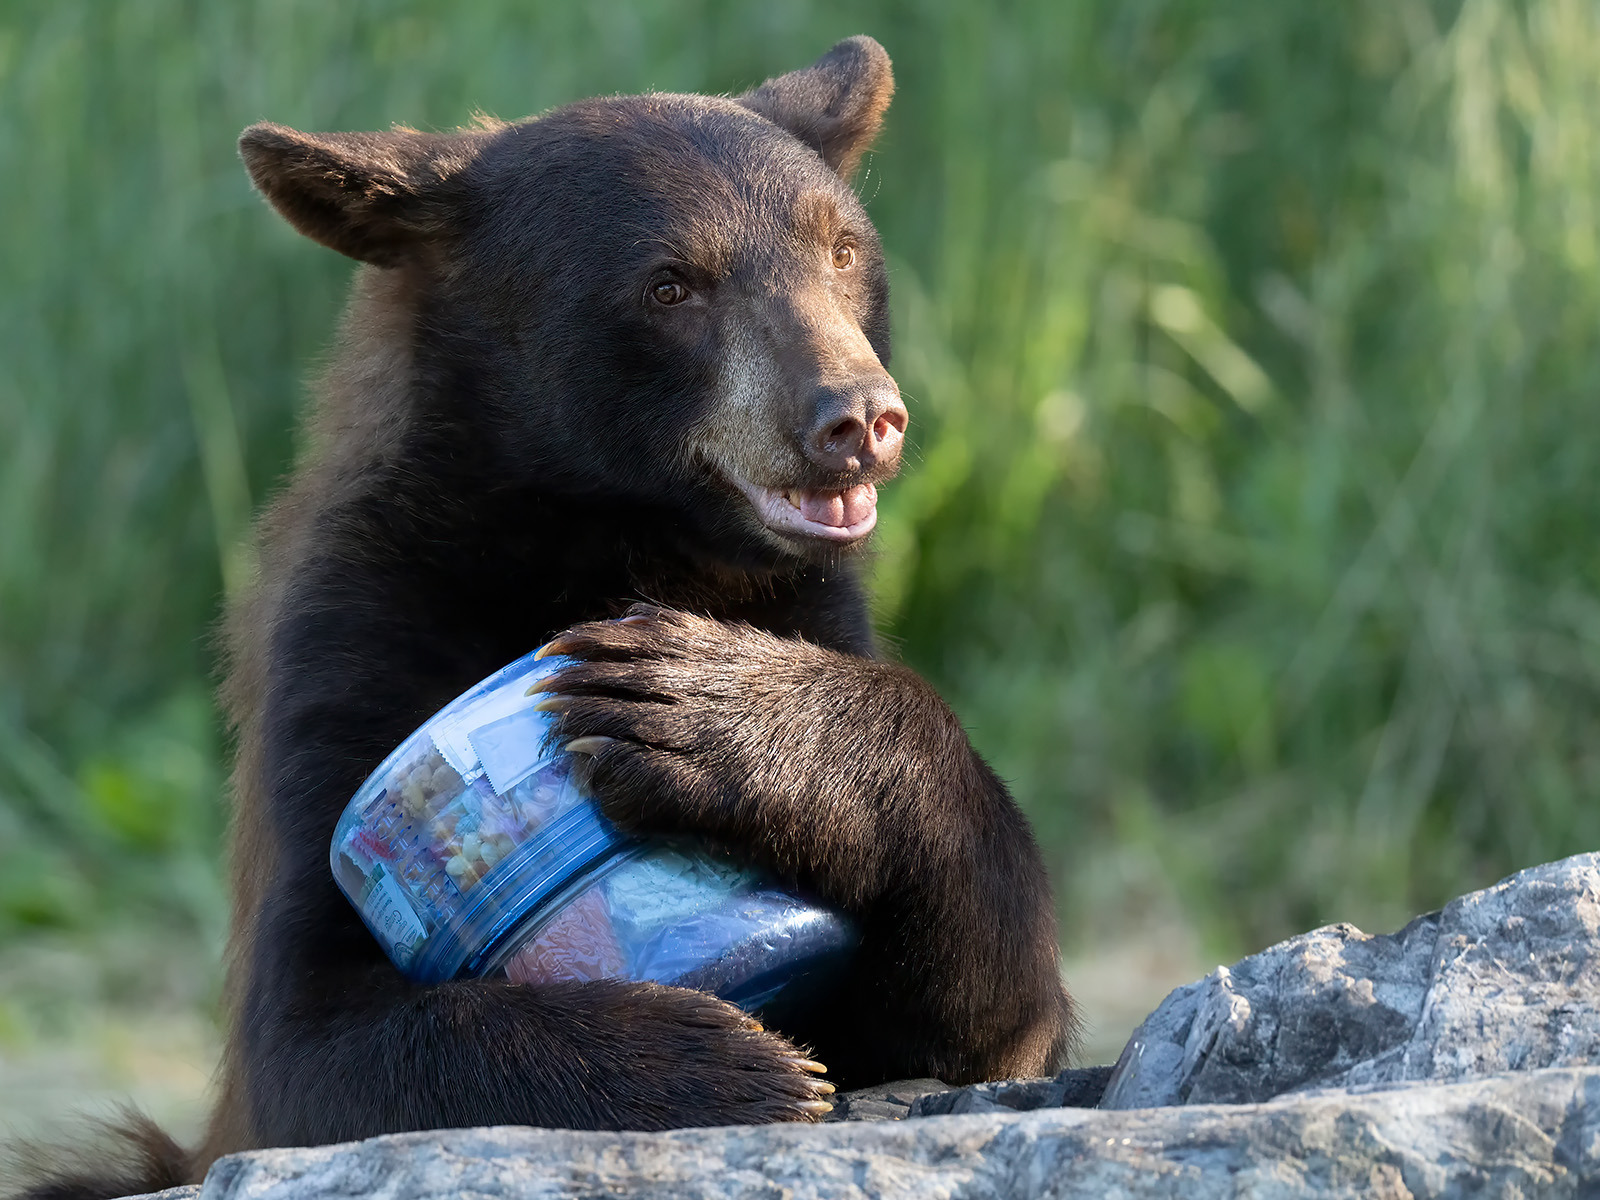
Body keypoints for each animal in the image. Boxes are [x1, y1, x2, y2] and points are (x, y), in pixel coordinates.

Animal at [16, 36, 1077, 1200]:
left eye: (842, 251)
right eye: (671, 284)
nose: (856, 418)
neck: (599, 539)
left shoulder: (811, 606)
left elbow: (991, 1013)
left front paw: (701, 704)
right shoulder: (351, 636)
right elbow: (311, 1035)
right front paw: (725, 1061)